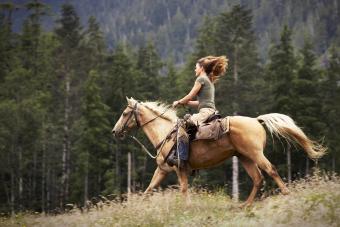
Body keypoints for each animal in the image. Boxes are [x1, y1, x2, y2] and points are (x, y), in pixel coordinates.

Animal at [112, 97, 326, 206]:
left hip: (256, 154)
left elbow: (183, 189)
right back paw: (243, 206)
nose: (115, 131)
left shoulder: (180, 169)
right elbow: (149, 189)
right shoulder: (163, 170)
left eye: (124, 113)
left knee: (271, 170)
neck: (166, 133)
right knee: (258, 179)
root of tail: (256, 120)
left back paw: (286, 194)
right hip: (245, 158)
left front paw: (185, 208)